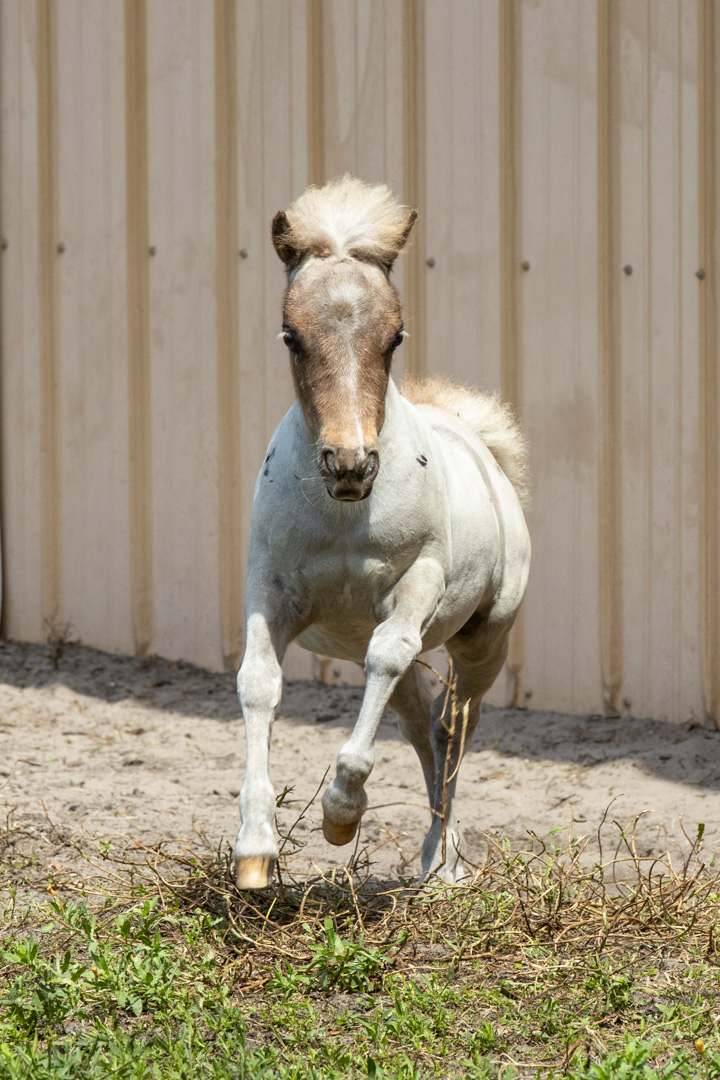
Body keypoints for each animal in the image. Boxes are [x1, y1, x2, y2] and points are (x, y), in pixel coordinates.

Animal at [232, 174, 528, 885]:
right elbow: (258, 683)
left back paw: (442, 865)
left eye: (394, 337)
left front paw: (341, 814)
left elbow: (390, 659)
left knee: (455, 727)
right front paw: (255, 848)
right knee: (423, 725)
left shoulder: (418, 584)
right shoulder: (269, 588)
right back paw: (435, 857)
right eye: (291, 335)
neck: (343, 515)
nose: (350, 463)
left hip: (484, 641)